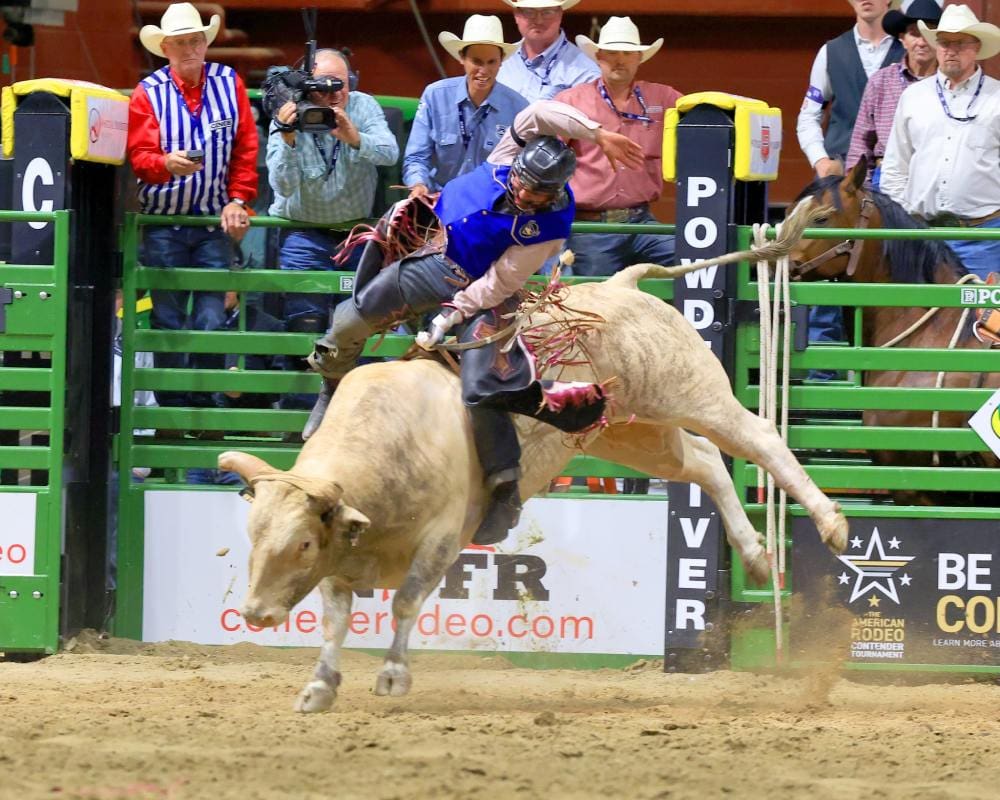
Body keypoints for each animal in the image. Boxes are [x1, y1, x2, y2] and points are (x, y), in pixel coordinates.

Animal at [220, 264, 849, 713]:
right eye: (253, 535)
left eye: (302, 543)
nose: (254, 613)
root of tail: (620, 286)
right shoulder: (343, 557)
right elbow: (336, 619)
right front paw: (320, 686)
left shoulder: (440, 540)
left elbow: (406, 601)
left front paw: (394, 674)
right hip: (632, 433)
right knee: (705, 462)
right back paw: (757, 555)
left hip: (690, 389)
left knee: (757, 438)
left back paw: (832, 525)